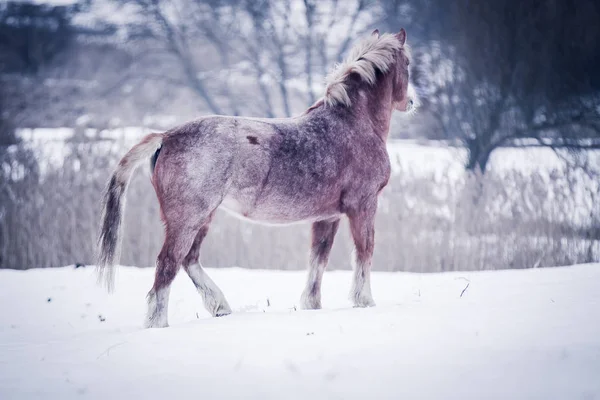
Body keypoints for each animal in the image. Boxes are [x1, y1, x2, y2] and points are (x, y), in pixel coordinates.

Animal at [98, 28, 414, 328]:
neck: (352, 123)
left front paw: (311, 305)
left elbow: (318, 259)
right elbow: (364, 251)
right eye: (408, 63)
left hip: (203, 217)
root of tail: (166, 136)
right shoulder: (363, 204)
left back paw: (220, 306)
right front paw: (365, 301)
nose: (411, 101)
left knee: (189, 260)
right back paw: (159, 323)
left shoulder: (328, 216)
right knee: (168, 265)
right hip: (187, 218)